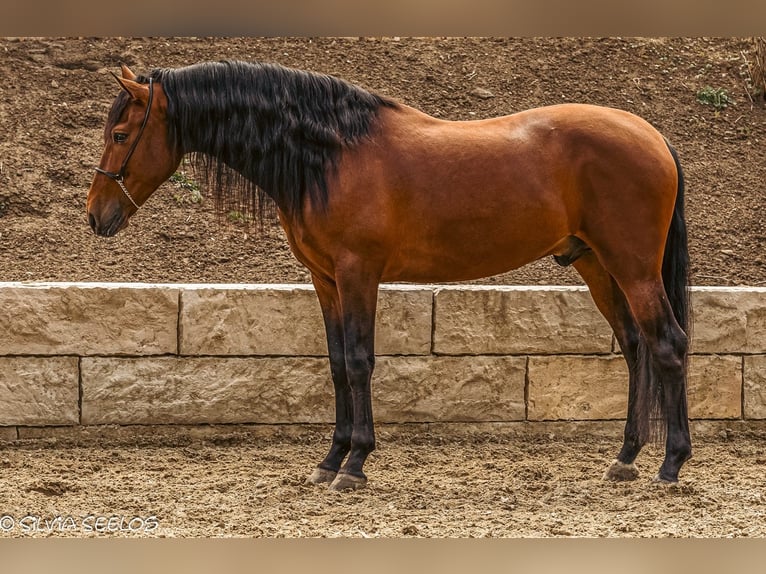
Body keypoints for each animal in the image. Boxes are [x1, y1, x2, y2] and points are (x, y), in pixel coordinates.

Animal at [86, 61, 692, 491]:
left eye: (120, 134)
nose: (96, 216)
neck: (329, 155)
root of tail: (653, 136)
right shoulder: (325, 280)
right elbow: (336, 366)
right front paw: (330, 459)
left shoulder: (359, 274)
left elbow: (359, 362)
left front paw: (355, 462)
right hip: (596, 264)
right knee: (635, 345)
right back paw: (625, 458)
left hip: (633, 267)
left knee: (667, 344)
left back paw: (671, 465)